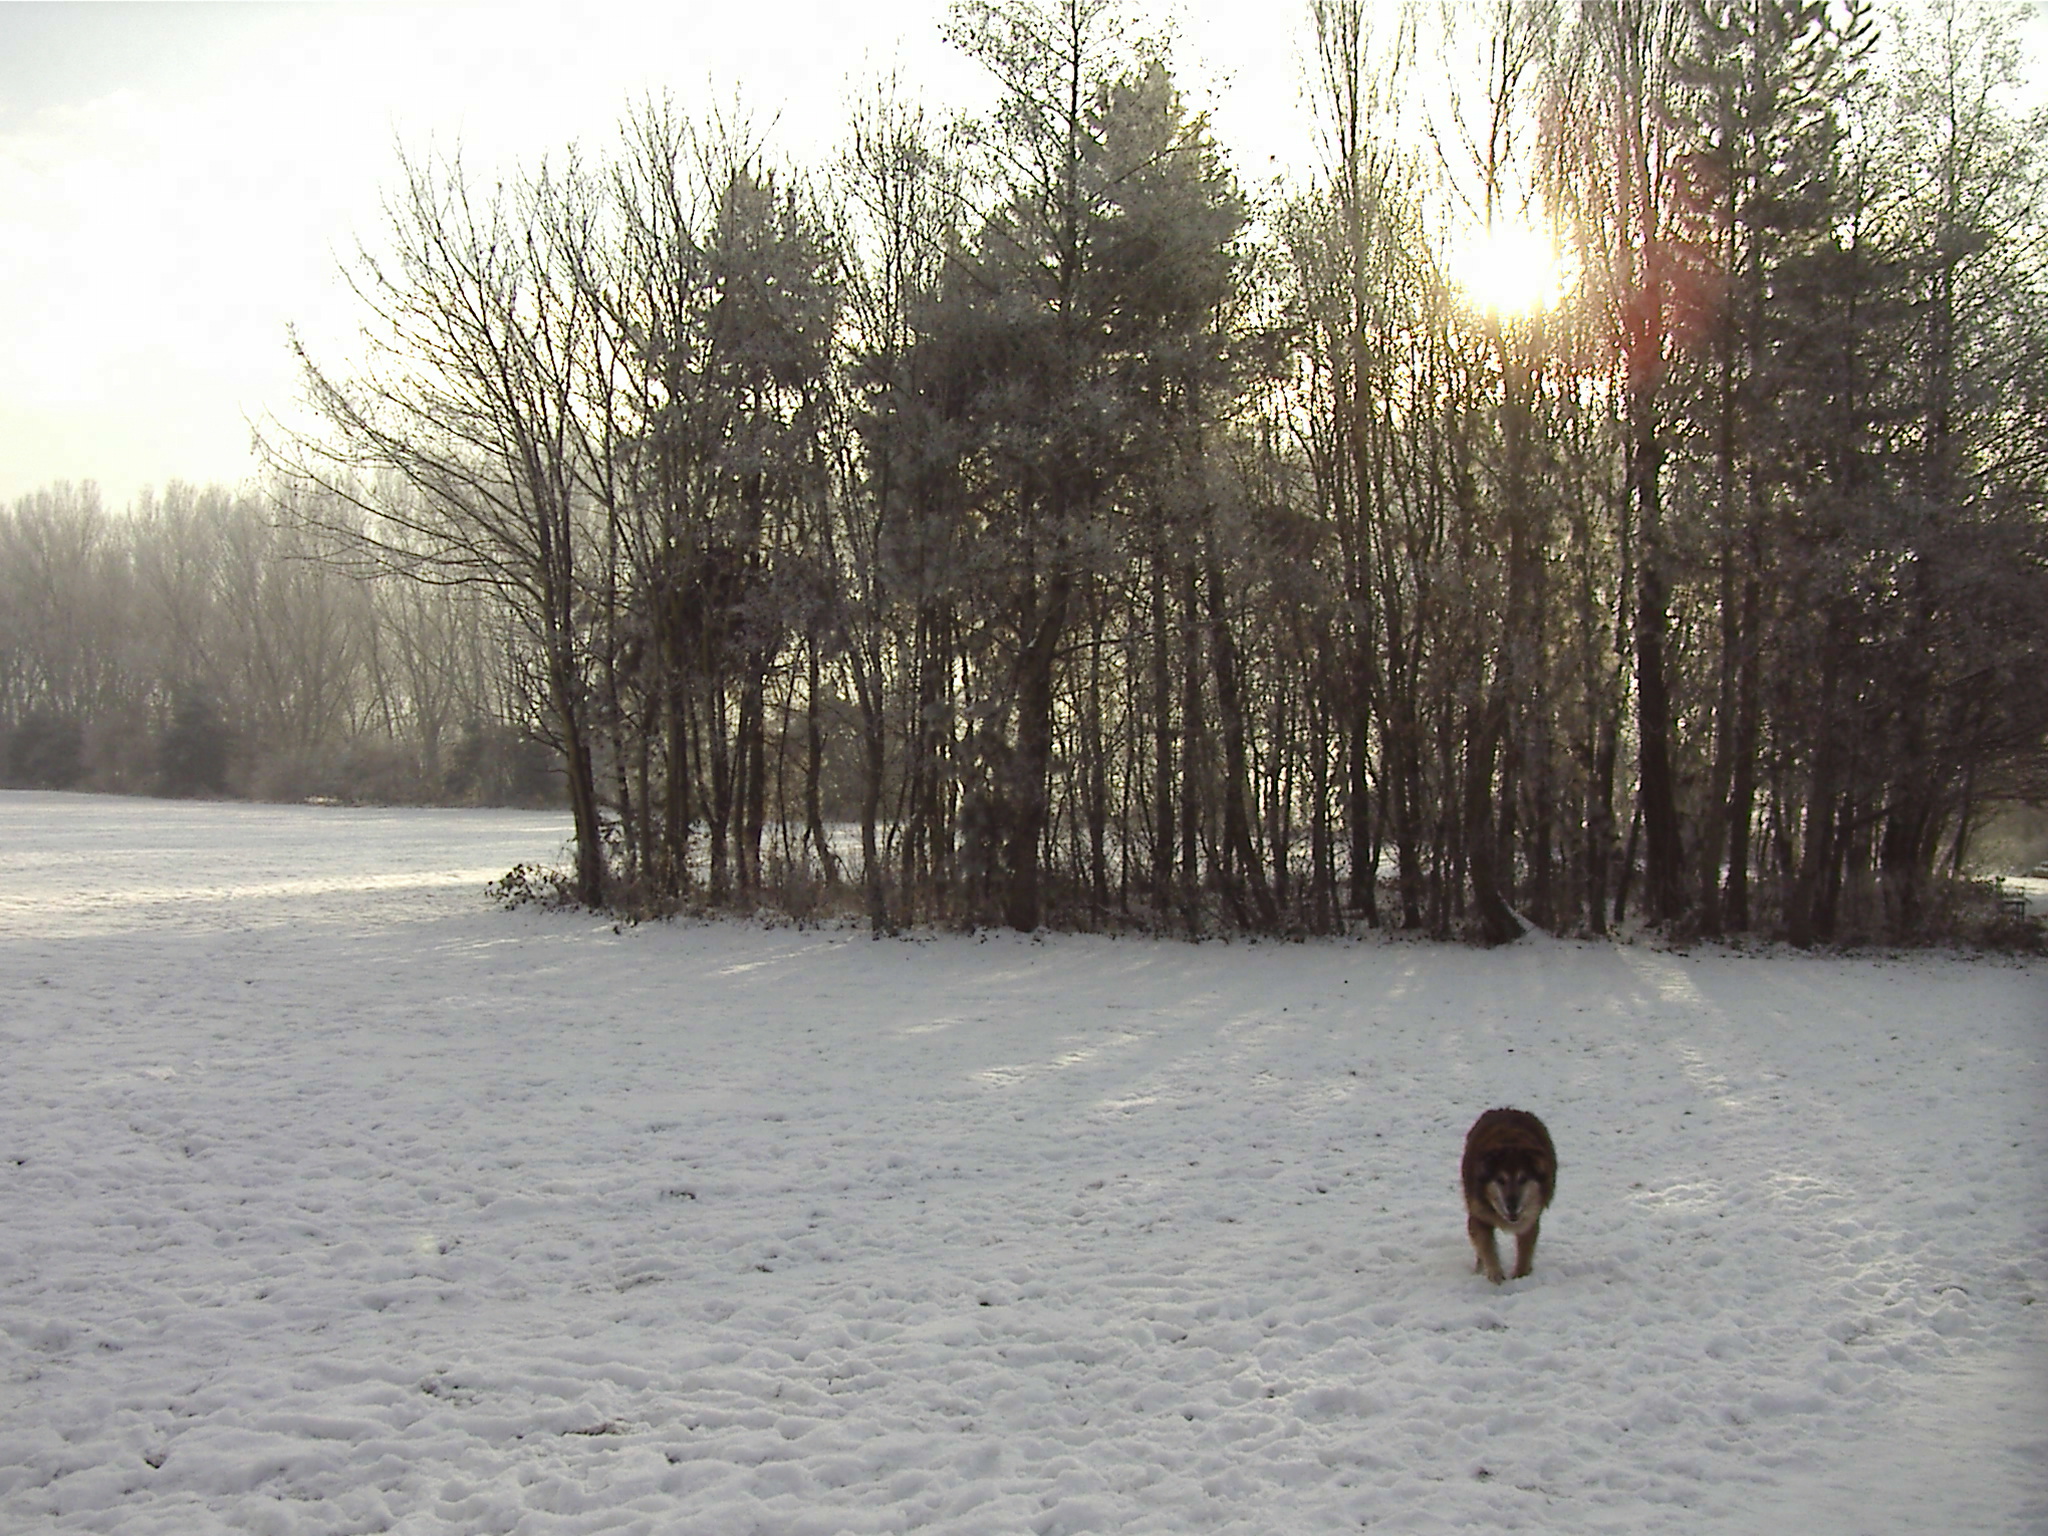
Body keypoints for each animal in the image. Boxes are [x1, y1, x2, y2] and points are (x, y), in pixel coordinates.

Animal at [1466, 1105, 1556, 1286]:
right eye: (1500, 1180)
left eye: (1523, 1179)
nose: (1512, 1206)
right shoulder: (1479, 1214)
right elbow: (1486, 1247)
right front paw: (1496, 1275)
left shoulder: (1530, 1220)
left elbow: (1525, 1251)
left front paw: (1521, 1277)